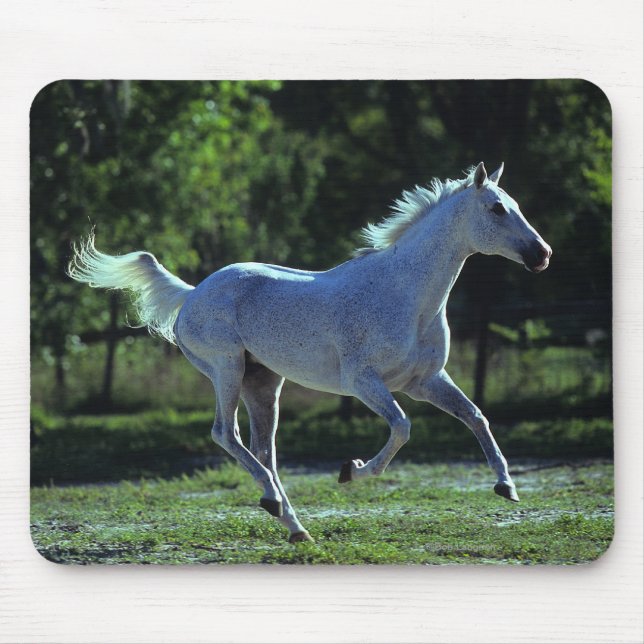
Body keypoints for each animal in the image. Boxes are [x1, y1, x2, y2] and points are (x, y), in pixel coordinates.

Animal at [68, 161, 552, 544]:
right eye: (497, 208)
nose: (542, 254)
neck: (405, 293)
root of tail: (191, 295)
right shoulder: (364, 382)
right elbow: (402, 428)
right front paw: (351, 471)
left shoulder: (424, 381)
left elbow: (476, 417)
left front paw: (507, 487)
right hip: (227, 369)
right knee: (226, 435)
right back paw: (274, 503)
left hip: (263, 384)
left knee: (264, 450)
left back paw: (294, 525)